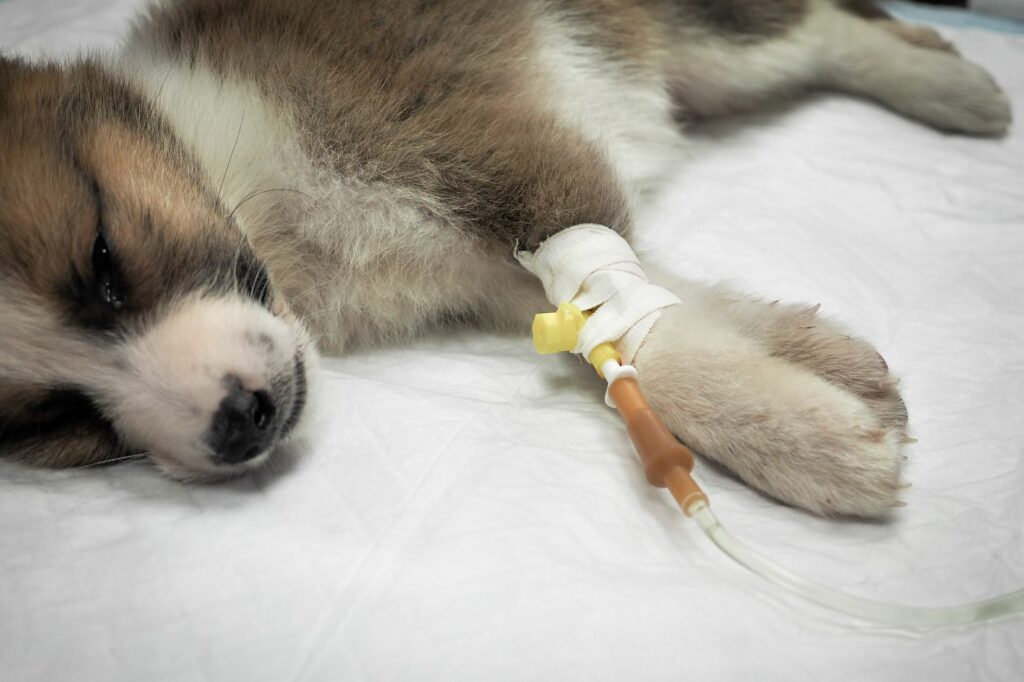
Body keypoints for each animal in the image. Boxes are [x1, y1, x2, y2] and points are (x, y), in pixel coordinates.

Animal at [0, 0, 1007, 512]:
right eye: (51, 421)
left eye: (103, 258)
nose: (239, 423)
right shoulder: (485, 276)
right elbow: (659, 315)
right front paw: (814, 374)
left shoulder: (499, 155)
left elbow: (629, 315)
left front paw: (806, 441)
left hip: (708, 47)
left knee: (822, 29)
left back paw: (949, 83)